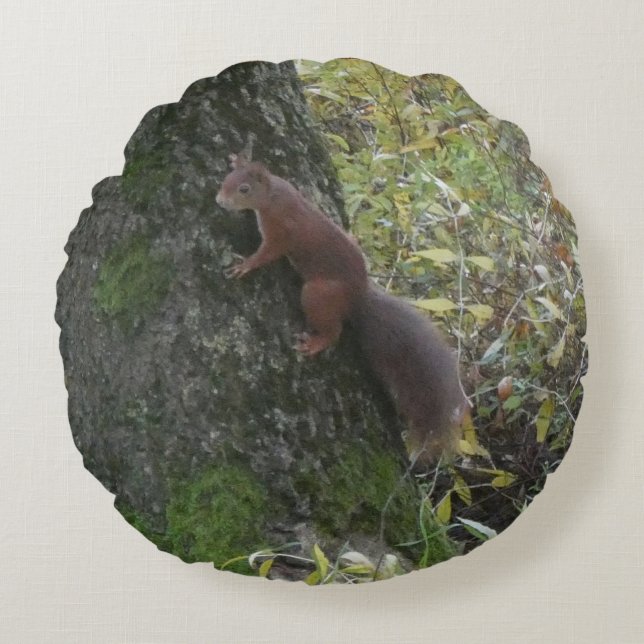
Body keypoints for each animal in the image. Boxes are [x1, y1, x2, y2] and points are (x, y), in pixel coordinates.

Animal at [216, 152, 468, 464]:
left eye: (244, 190)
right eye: (226, 179)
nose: (220, 201)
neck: (273, 195)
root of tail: (357, 297)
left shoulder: (281, 232)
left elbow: (267, 253)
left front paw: (245, 265)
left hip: (317, 294)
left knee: (333, 331)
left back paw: (315, 343)